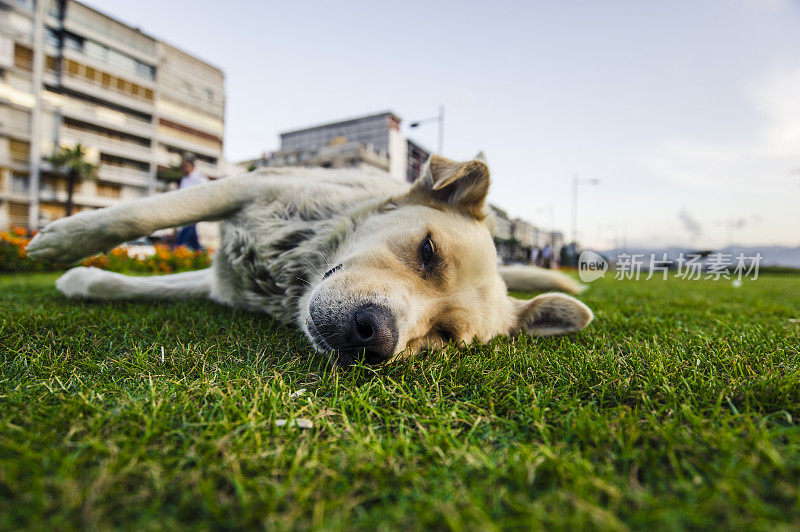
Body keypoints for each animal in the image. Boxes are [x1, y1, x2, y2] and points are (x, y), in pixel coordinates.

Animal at [26, 152, 592, 364]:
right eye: (428, 250)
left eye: (444, 336)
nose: (373, 337)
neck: (291, 273)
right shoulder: (249, 186)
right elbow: (138, 216)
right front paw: (62, 247)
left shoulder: (222, 285)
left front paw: (81, 278)